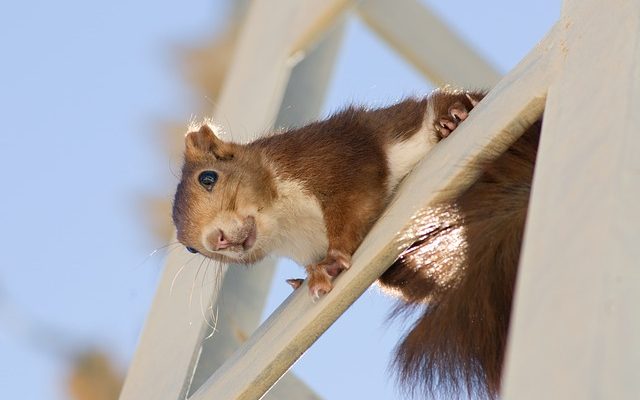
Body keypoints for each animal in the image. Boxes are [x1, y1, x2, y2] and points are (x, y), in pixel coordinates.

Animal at [171, 87, 540, 396]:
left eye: (208, 178)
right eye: (189, 247)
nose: (215, 240)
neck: (287, 225)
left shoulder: (330, 157)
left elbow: (353, 202)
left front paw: (333, 259)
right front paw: (308, 276)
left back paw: (453, 115)